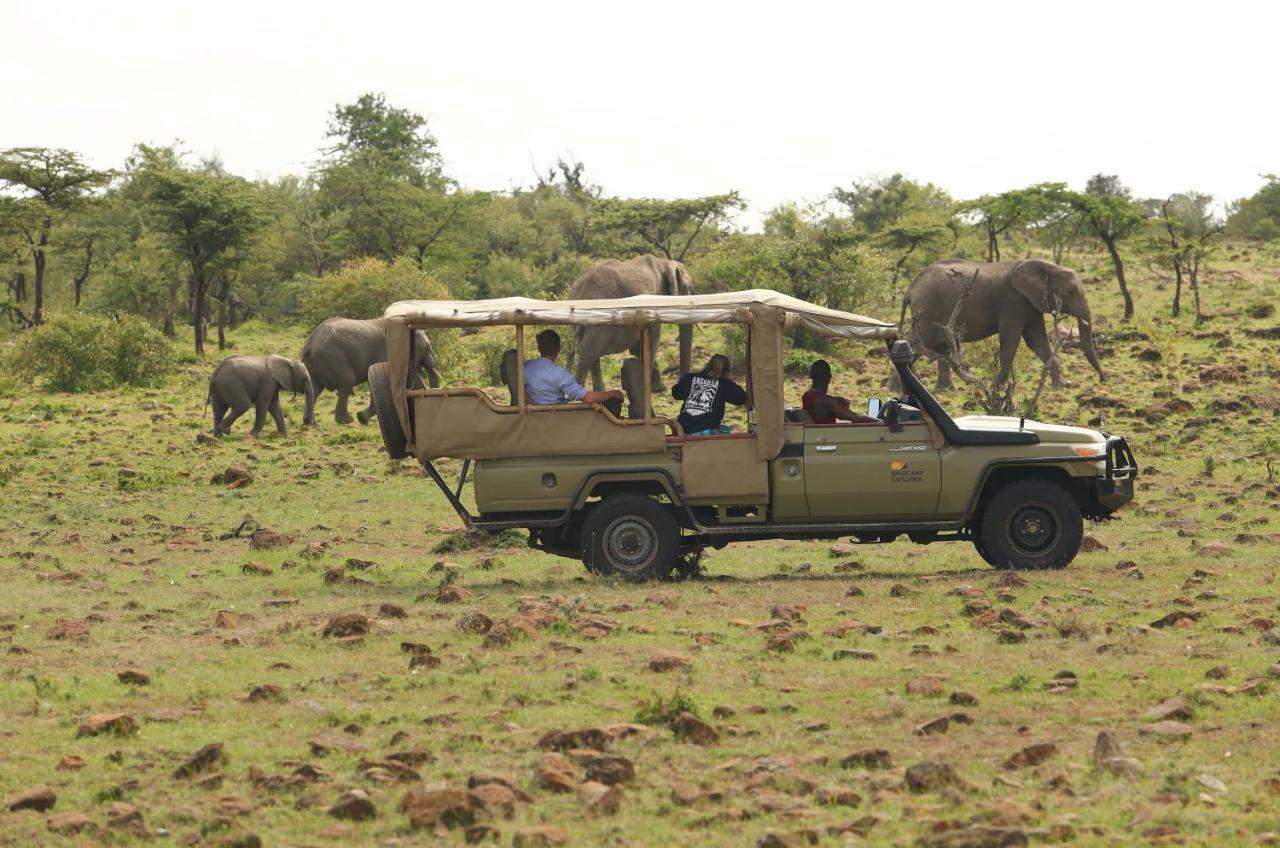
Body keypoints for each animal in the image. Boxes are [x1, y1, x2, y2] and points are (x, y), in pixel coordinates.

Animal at [302, 315, 442, 425]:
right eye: (427, 349)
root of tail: (310, 343)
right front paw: (362, 418)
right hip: (333, 357)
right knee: (347, 382)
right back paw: (346, 421)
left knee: (314, 389)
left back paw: (310, 423)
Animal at [568, 256, 696, 391]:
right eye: (689, 288)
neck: (664, 262)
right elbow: (652, 342)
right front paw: (654, 389)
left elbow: (638, 348)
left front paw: (657, 388)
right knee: (588, 355)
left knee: (591, 357)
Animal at [901, 258, 1111, 391]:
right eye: (1070, 292)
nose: (1103, 380)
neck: (1047, 266)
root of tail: (911, 288)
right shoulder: (1012, 302)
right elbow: (1011, 343)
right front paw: (997, 388)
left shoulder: (1030, 304)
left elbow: (1039, 342)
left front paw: (1063, 385)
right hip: (928, 308)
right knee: (917, 345)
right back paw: (898, 390)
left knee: (939, 348)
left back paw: (945, 389)